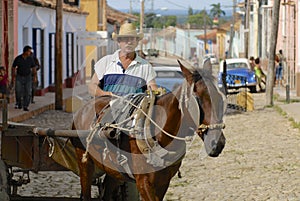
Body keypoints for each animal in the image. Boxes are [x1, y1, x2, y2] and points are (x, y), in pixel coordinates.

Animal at [70, 60, 225, 200]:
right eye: (197, 99)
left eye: (220, 98)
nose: (218, 143)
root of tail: (84, 108)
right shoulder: (144, 183)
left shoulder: (163, 182)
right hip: (84, 162)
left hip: (113, 169)